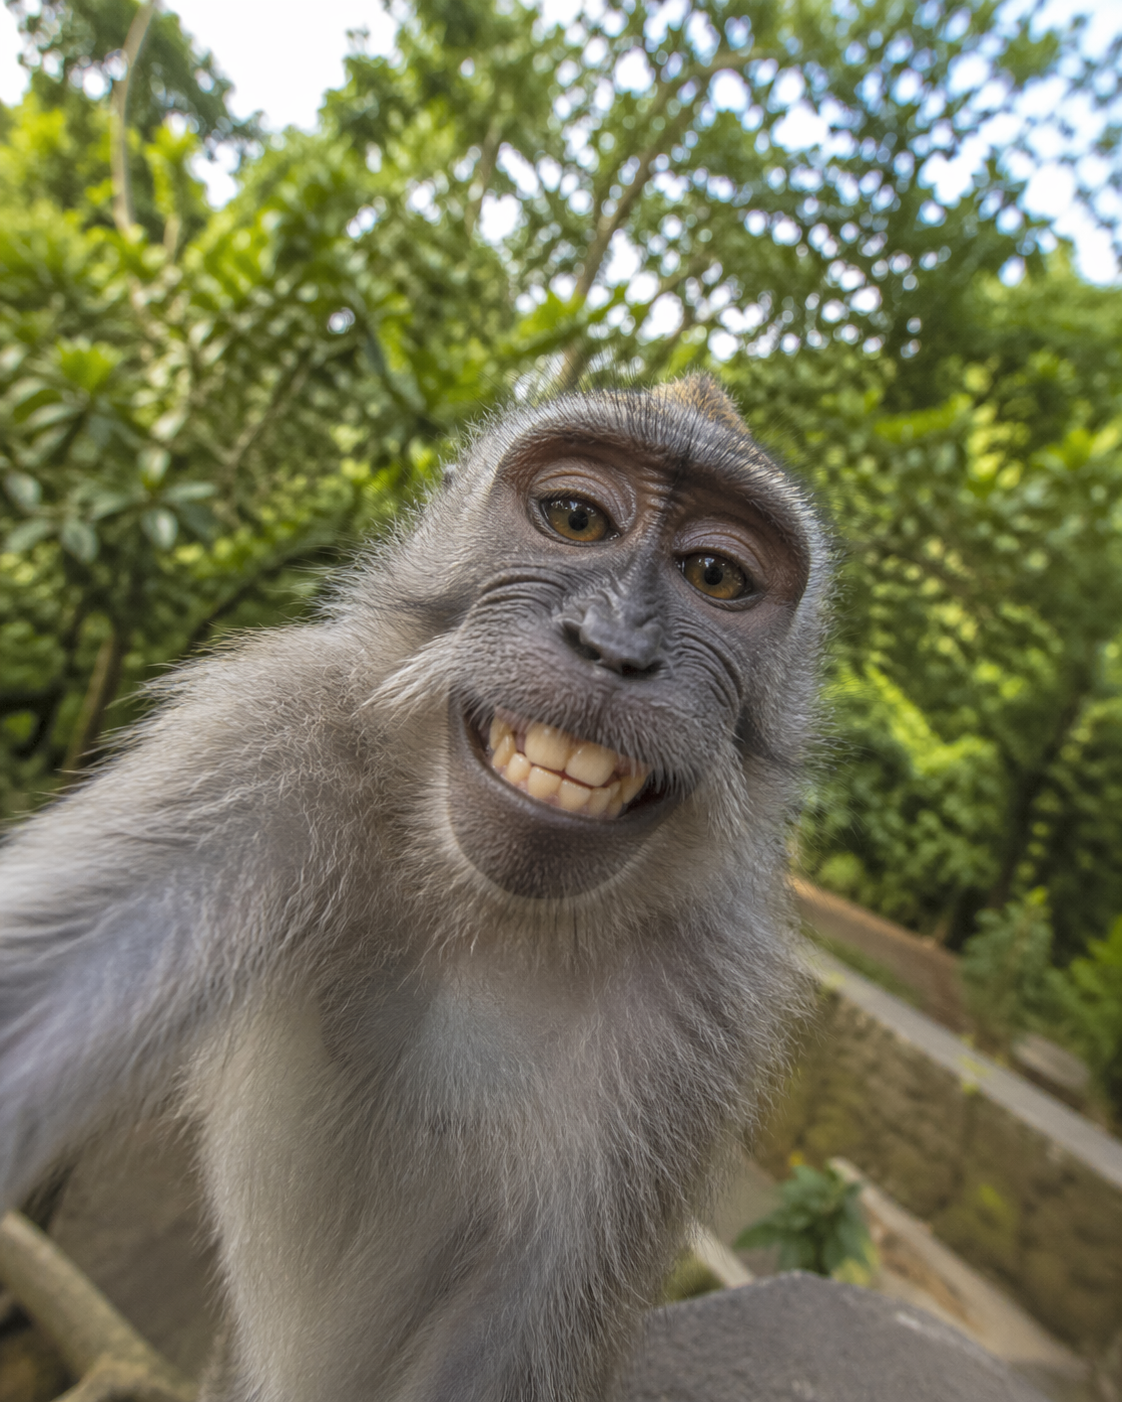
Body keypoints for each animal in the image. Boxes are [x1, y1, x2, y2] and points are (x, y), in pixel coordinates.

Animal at [0, 377, 828, 1402]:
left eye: (715, 576)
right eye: (575, 518)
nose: (613, 646)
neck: (485, 905)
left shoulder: (704, 1011)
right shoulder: (275, 733)